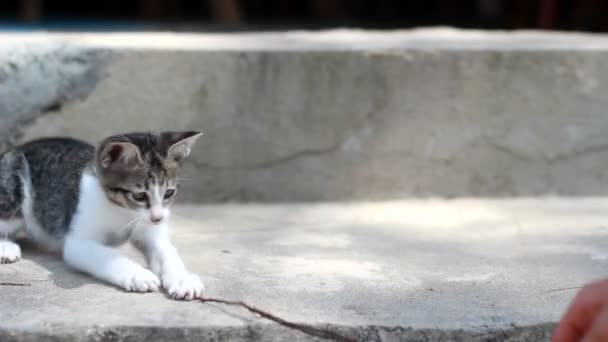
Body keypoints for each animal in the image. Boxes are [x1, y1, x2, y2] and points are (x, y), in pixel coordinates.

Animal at [0, 131, 204, 300]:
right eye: (139, 196)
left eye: (168, 193)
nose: (158, 218)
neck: (122, 210)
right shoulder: (78, 242)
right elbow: (108, 256)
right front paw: (138, 275)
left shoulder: (151, 231)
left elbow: (167, 252)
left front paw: (183, 279)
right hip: (13, 184)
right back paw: (6, 248)